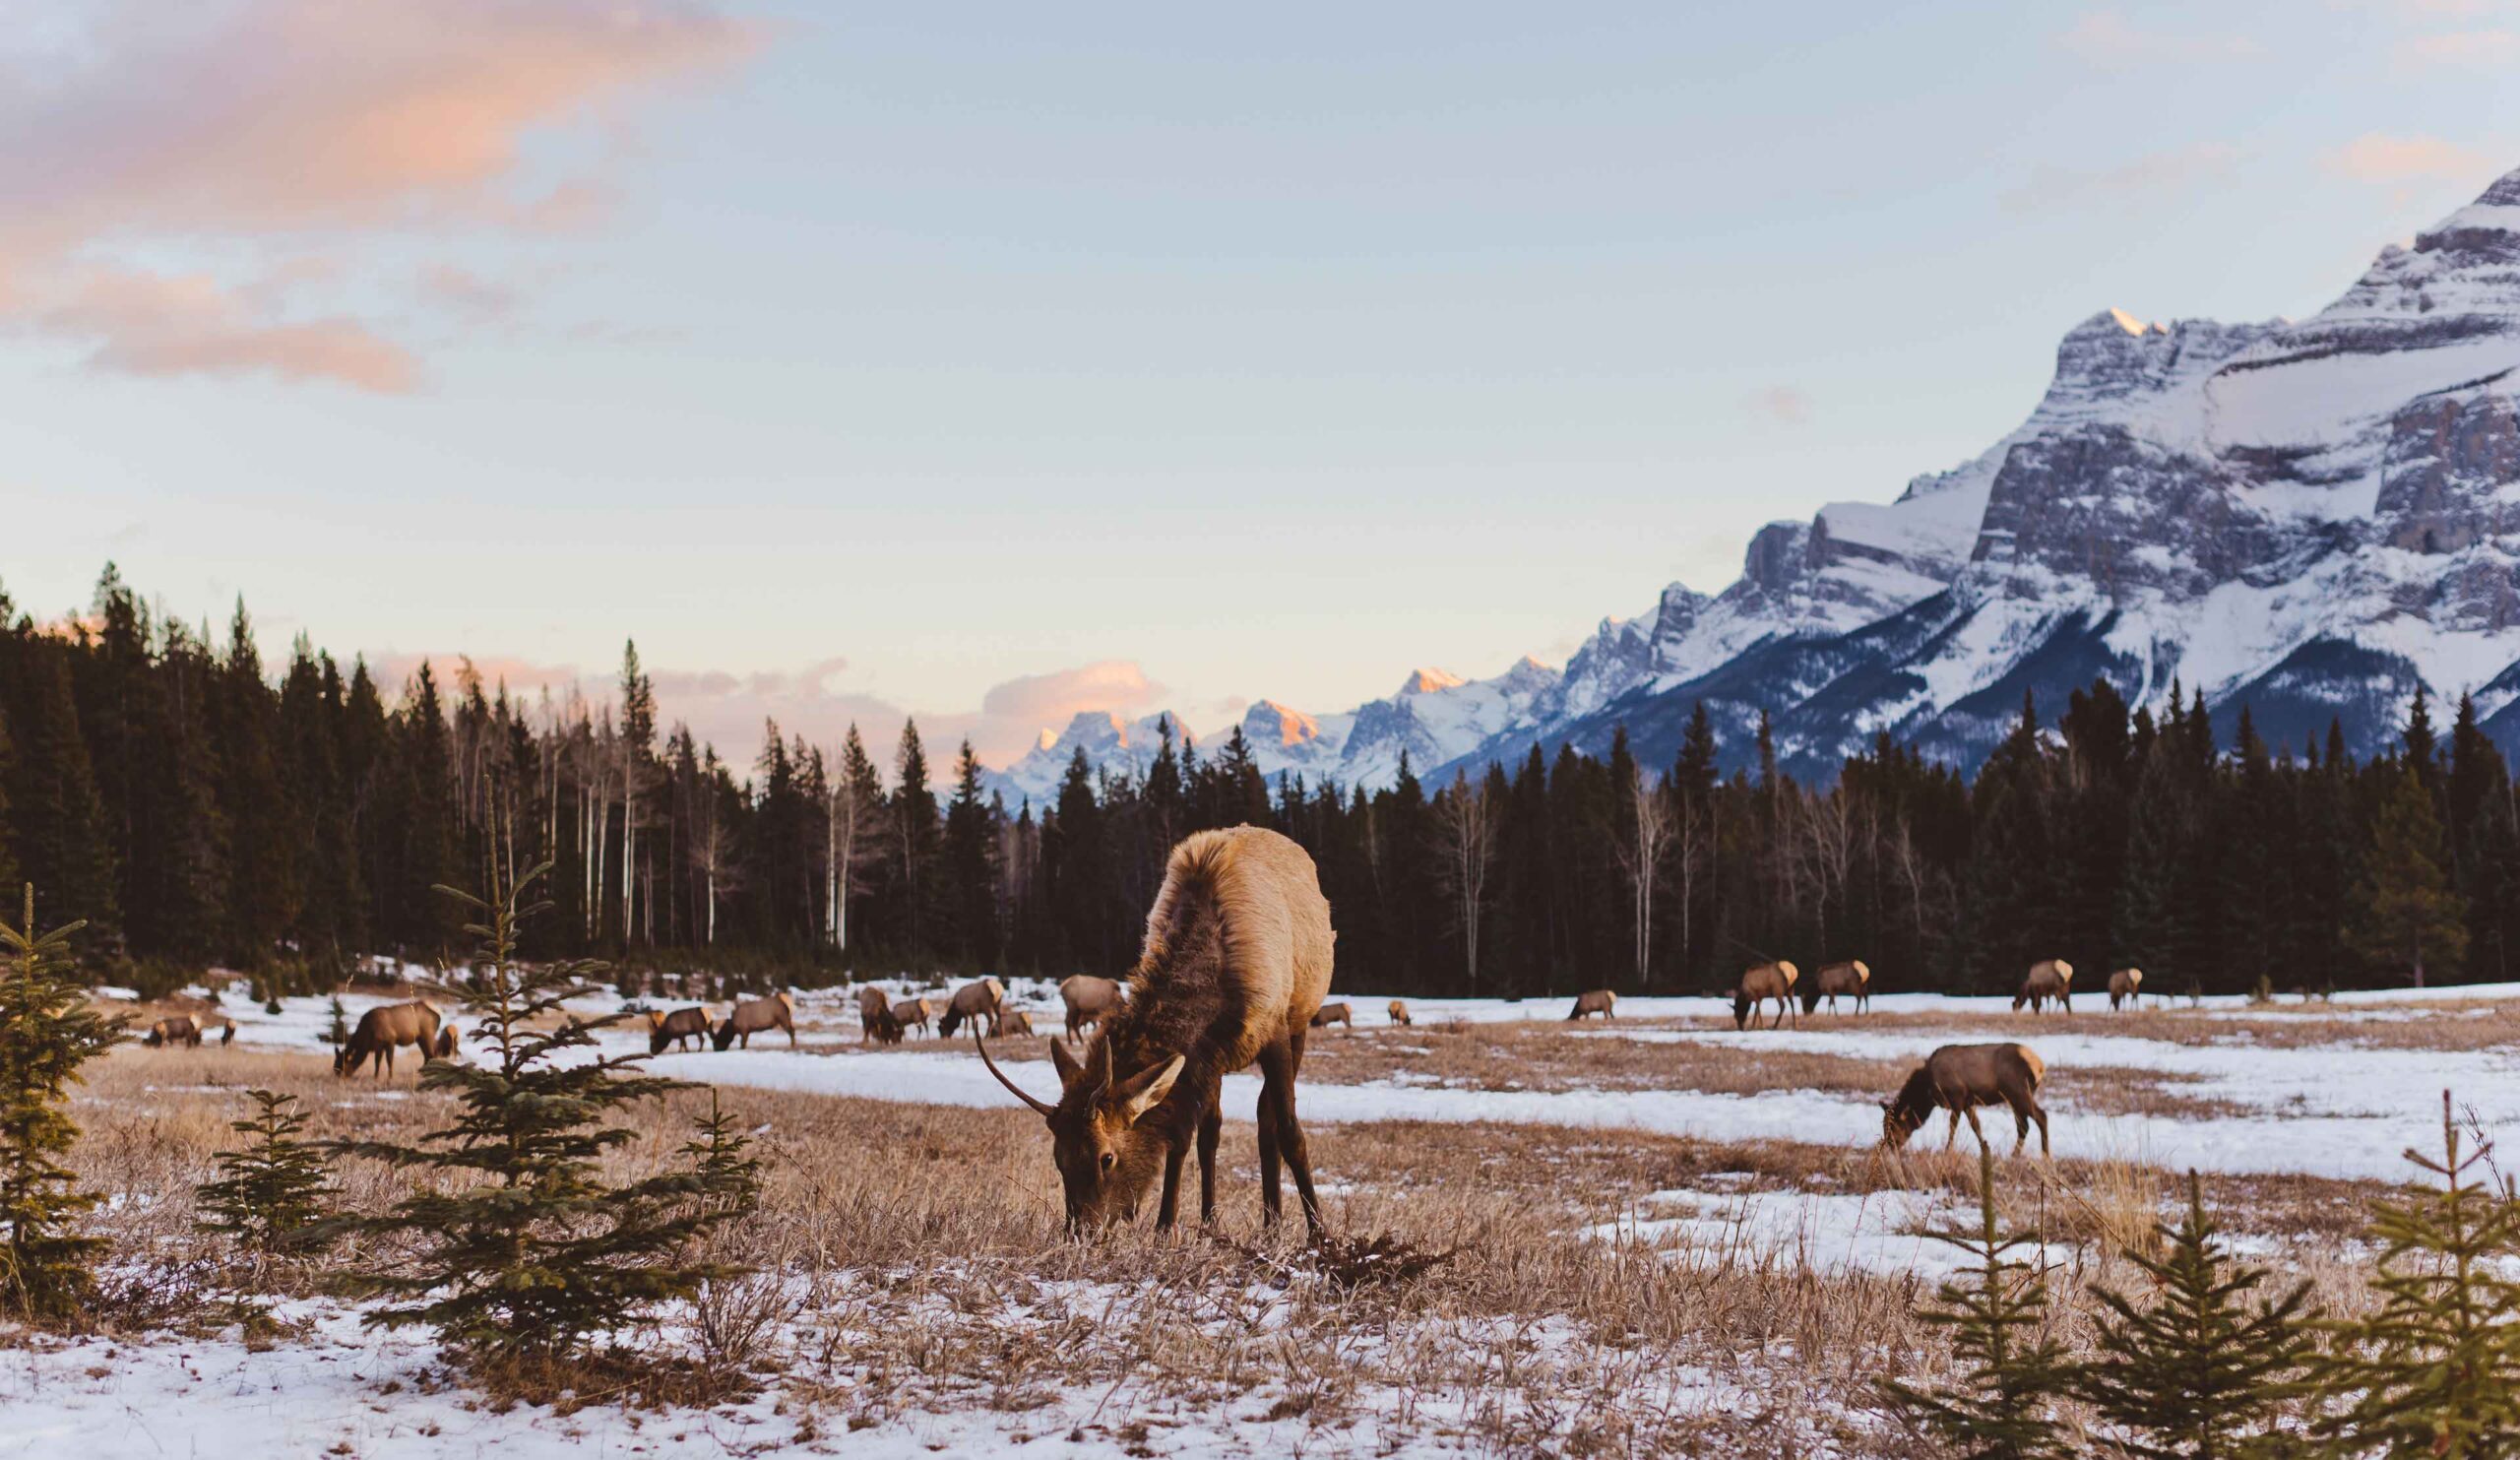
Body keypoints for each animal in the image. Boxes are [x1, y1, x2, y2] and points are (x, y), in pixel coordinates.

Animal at [977, 825, 1336, 1236]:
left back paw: (1272, 1221)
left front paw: (1320, 1233)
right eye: (1059, 1158)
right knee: (1212, 1132)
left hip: (1299, 1023)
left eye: (1106, 1157)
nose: (1080, 1229)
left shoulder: (1275, 1032)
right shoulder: (1202, 1058)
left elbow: (1290, 1131)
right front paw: (1167, 1225)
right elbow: (1181, 1138)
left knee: (1266, 1118)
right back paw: (1219, 1221)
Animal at [1880, 1043, 2050, 1159]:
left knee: (2041, 1117)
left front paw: (1947, 1151)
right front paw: (1984, 1150)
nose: (1889, 1147)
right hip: (2014, 1098)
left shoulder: (1957, 1097)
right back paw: (2014, 1155)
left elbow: (1952, 1127)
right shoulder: (1968, 1103)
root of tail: (2040, 1066)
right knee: (2023, 1126)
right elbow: (1976, 1126)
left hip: (2019, 1093)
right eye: (1884, 1126)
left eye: (1895, 1127)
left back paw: (2045, 1155)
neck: (1929, 1091)